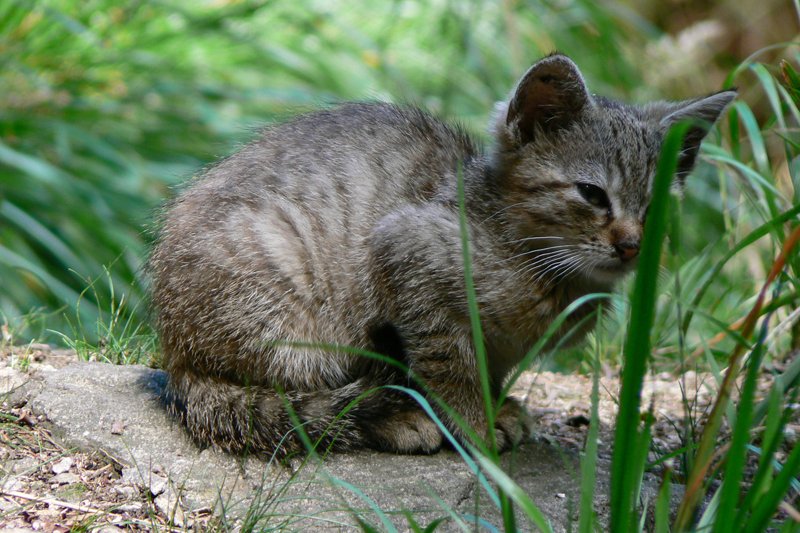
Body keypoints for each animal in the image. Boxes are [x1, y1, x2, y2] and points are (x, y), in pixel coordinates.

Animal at [147, 54, 736, 456]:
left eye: (655, 207)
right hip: (293, 312)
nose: (631, 245)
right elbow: (450, 366)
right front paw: (476, 427)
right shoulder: (408, 252)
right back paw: (398, 418)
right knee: (300, 403)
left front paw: (499, 406)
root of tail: (177, 356)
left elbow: (491, 368)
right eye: (593, 194)